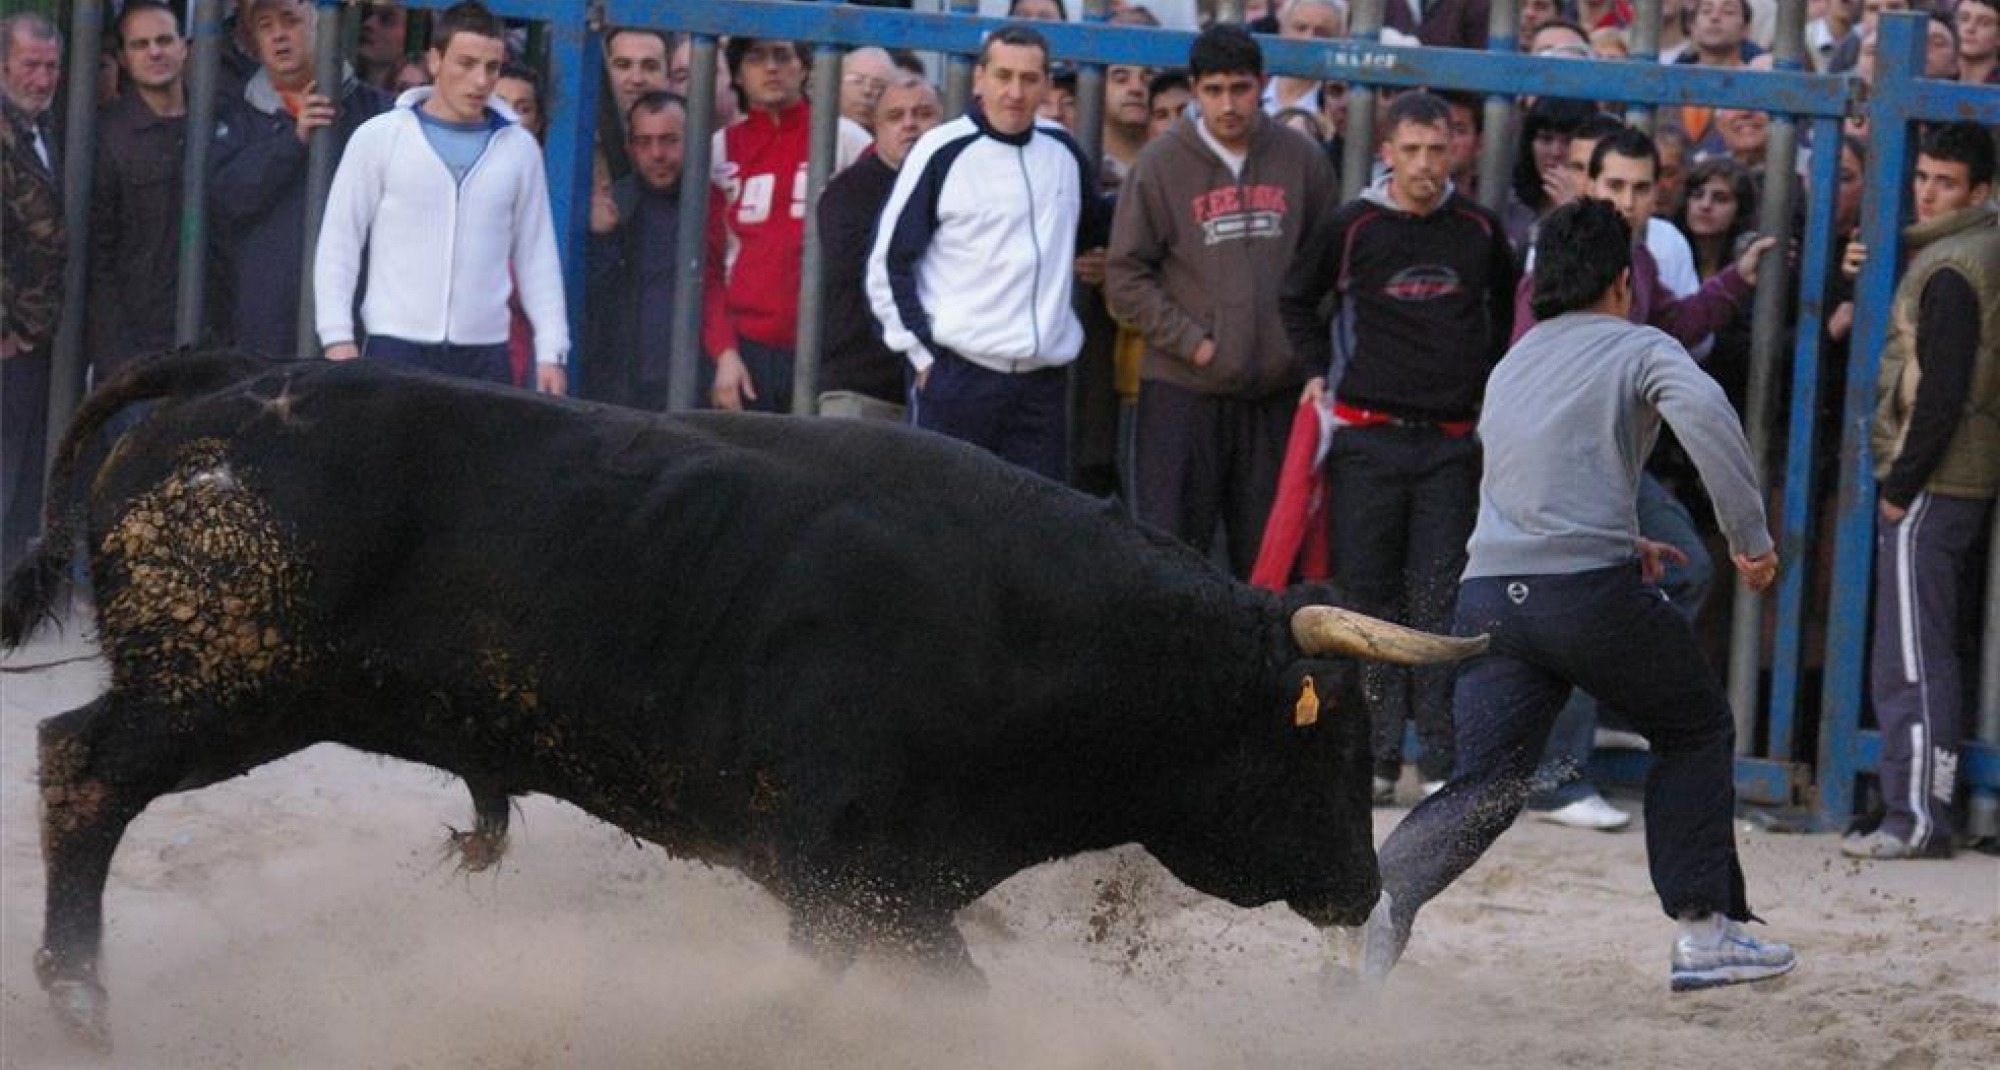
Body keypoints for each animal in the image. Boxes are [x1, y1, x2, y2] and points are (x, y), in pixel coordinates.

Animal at [3, 352, 1488, 1048]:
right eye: (1332, 746)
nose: (1364, 887)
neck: (1041, 632)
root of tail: (230, 386)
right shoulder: (849, 875)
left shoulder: (875, 891)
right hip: (217, 684)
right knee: (82, 766)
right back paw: (78, 1004)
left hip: (238, 694)